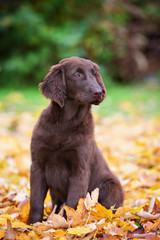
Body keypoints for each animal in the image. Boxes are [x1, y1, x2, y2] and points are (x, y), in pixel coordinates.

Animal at [28, 56, 124, 225]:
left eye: (94, 74)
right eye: (77, 75)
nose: (99, 92)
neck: (65, 123)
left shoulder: (80, 168)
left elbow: (73, 202)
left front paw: (68, 225)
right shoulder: (37, 165)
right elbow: (36, 200)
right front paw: (33, 225)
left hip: (111, 185)